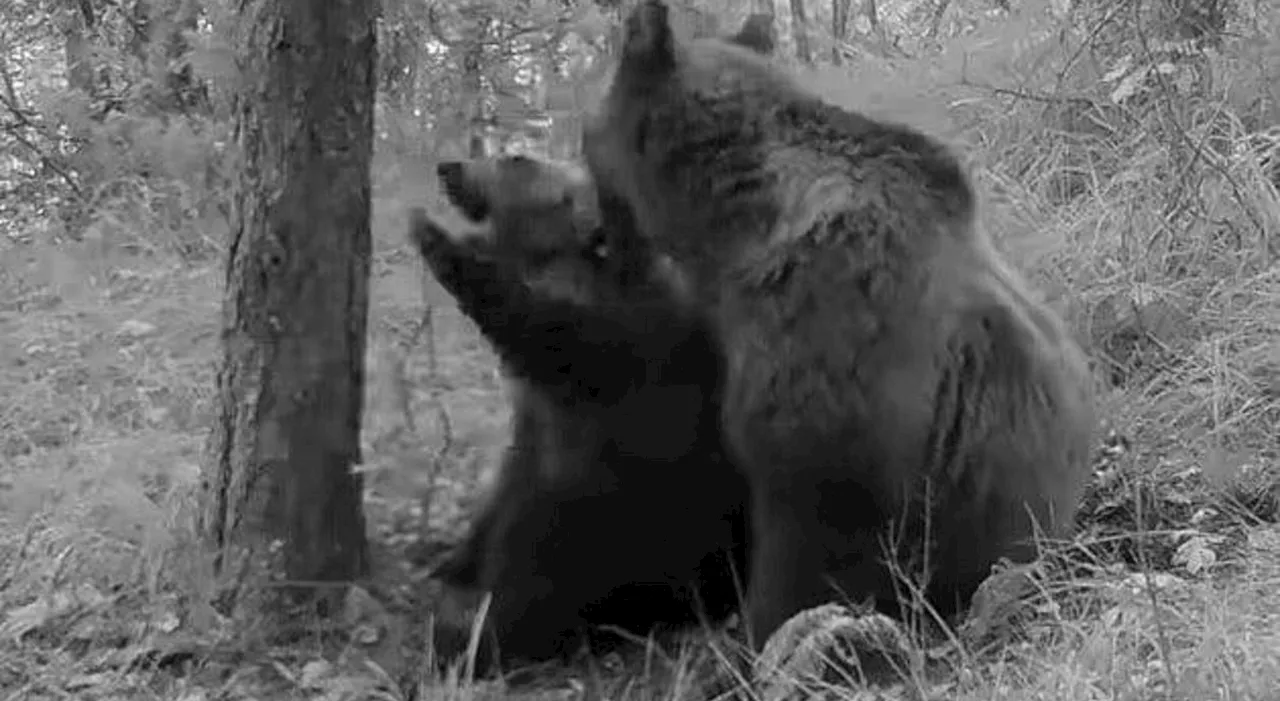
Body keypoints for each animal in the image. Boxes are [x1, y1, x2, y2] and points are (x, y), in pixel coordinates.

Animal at [407, 154, 747, 675]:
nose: (450, 166)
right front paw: (441, 557)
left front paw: (440, 241)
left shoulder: (624, 368)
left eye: (517, 159)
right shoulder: (537, 430)